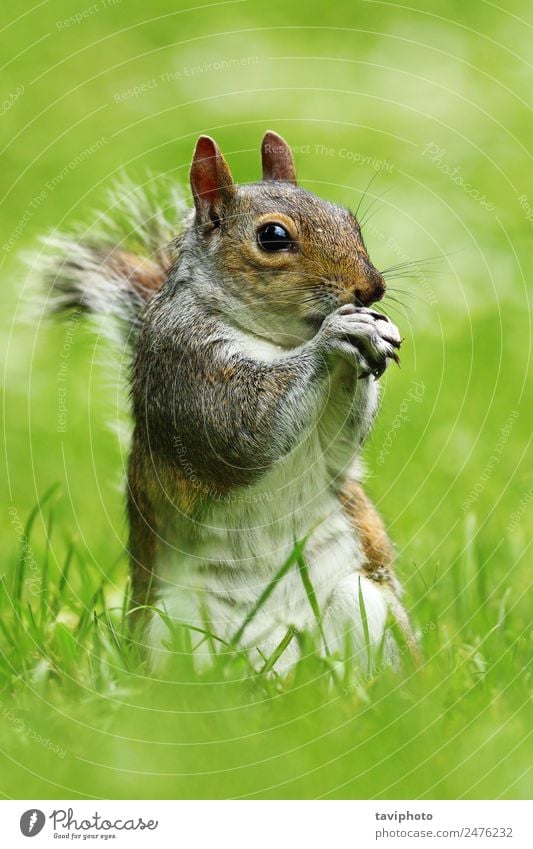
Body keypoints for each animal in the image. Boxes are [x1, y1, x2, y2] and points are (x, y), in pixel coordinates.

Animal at [39, 132, 418, 672]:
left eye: (350, 220)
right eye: (273, 237)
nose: (372, 289)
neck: (279, 340)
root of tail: (279, 667)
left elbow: (339, 443)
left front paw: (376, 331)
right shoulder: (185, 367)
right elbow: (242, 431)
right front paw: (338, 333)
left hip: (362, 602)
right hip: (170, 629)